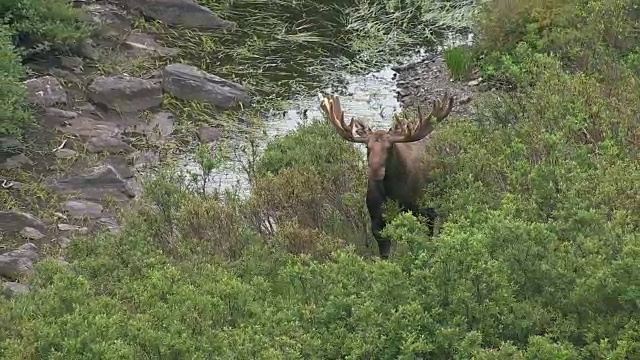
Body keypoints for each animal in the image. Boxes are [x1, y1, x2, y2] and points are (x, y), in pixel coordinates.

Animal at [318, 91, 450, 258]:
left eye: (389, 147)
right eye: (367, 147)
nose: (375, 170)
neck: (394, 193)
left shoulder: (426, 212)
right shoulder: (376, 220)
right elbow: (385, 255)